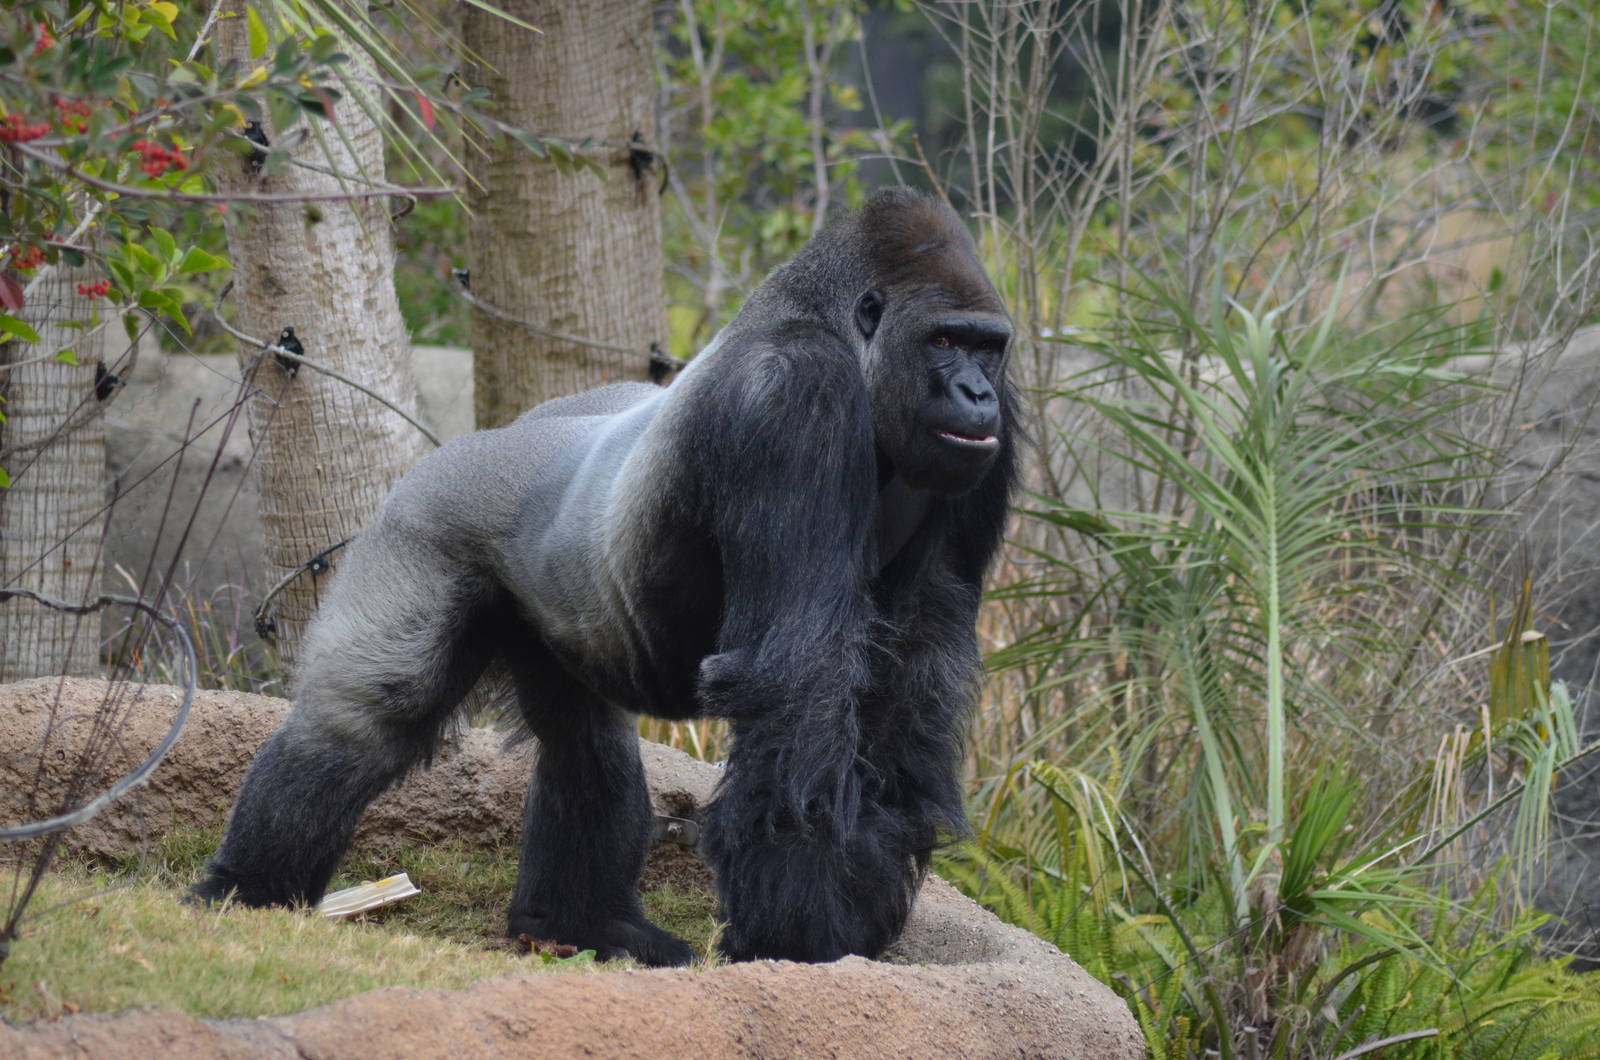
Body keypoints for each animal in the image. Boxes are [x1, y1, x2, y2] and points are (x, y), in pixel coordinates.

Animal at [191, 188, 1018, 966]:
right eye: (945, 340)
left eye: (989, 349)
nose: (975, 395)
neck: (847, 340)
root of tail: (484, 438)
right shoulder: (795, 396)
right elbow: (798, 674)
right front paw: (802, 928)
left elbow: (912, 670)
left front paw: (857, 896)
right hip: (421, 523)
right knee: (368, 716)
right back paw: (246, 886)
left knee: (582, 743)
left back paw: (572, 921)